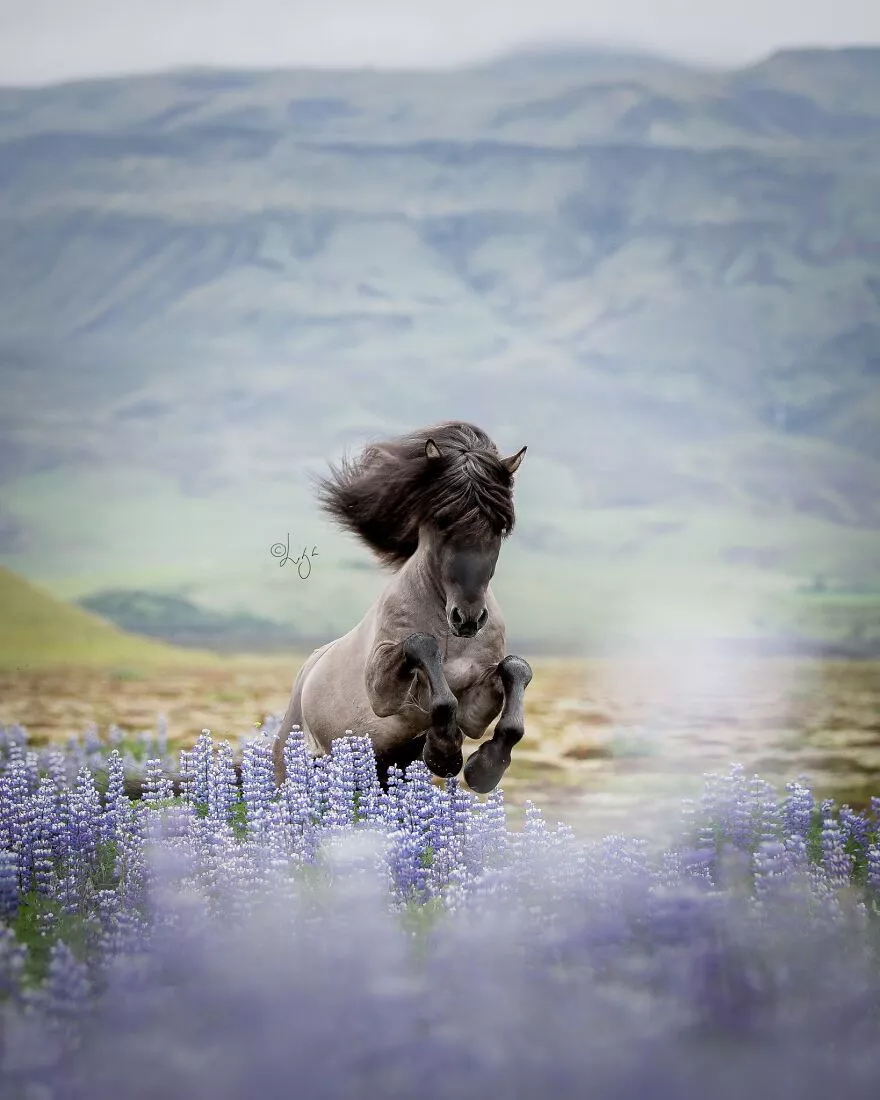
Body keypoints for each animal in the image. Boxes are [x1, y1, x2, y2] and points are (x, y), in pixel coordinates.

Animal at [272, 421, 533, 794]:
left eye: (500, 525)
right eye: (442, 520)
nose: (468, 618)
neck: (451, 636)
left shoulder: (476, 707)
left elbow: (515, 671)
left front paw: (484, 767)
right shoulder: (383, 694)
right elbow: (422, 649)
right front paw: (444, 753)